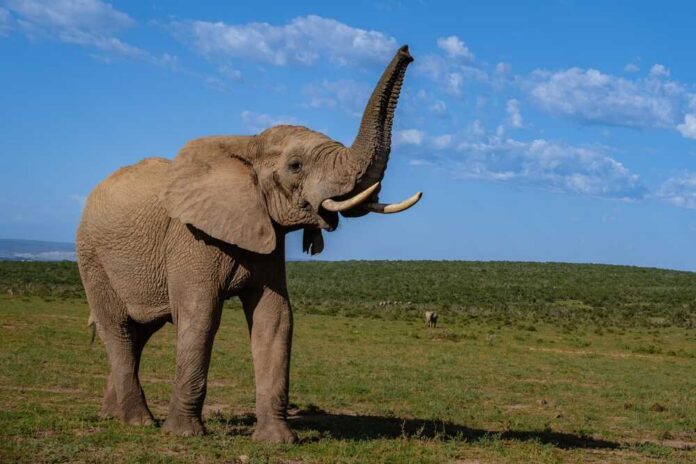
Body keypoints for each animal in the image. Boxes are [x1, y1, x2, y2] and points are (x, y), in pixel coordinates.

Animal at [76, 45, 421, 443]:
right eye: (295, 166)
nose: (407, 51)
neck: (246, 143)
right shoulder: (192, 237)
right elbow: (200, 316)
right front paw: (184, 434)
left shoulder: (267, 233)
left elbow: (275, 318)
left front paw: (278, 441)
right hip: (92, 257)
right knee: (118, 328)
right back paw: (139, 422)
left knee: (138, 333)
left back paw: (112, 416)